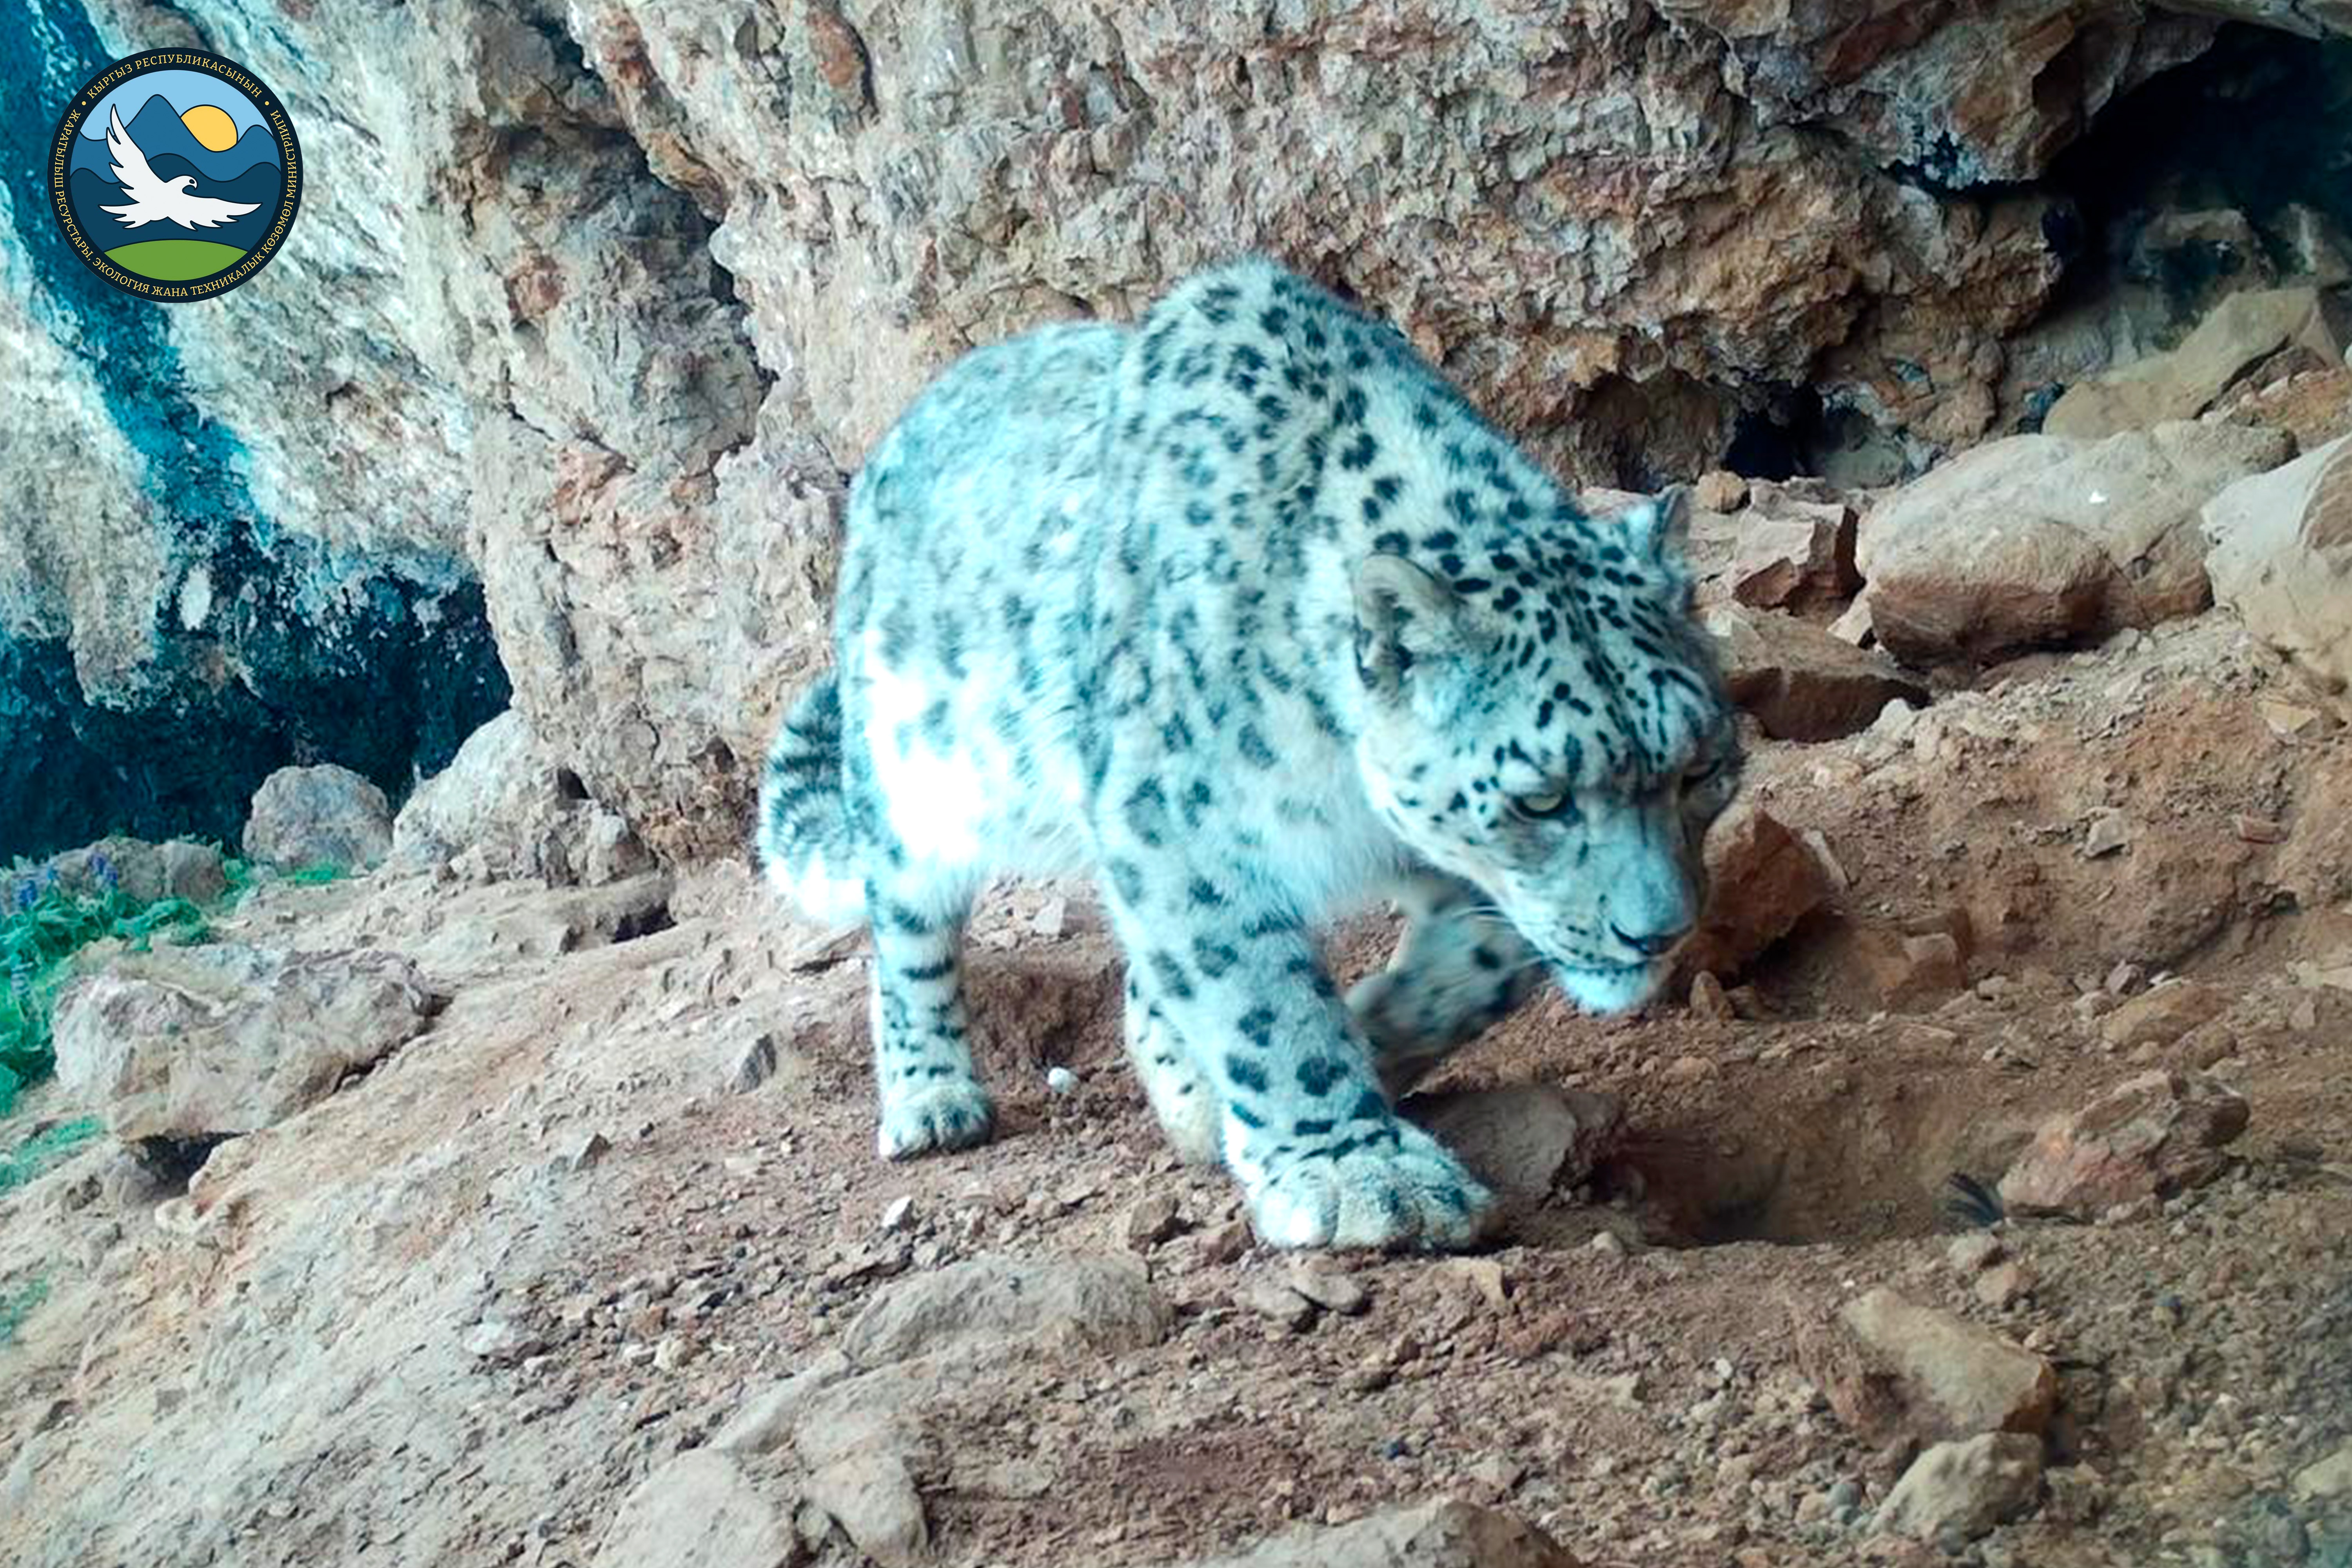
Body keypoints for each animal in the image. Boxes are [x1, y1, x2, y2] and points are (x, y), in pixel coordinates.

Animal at [762, 263, 1740, 1260]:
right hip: (915, 789)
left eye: (1702, 770)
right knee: (905, 938)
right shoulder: (1175, 823)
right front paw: (1362, 1174)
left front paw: (1363, 1043)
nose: (1658, 933)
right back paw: (932, 1097)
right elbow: (1261, 996)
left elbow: (1487, 958)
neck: (1348, 787)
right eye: (1541, 800)